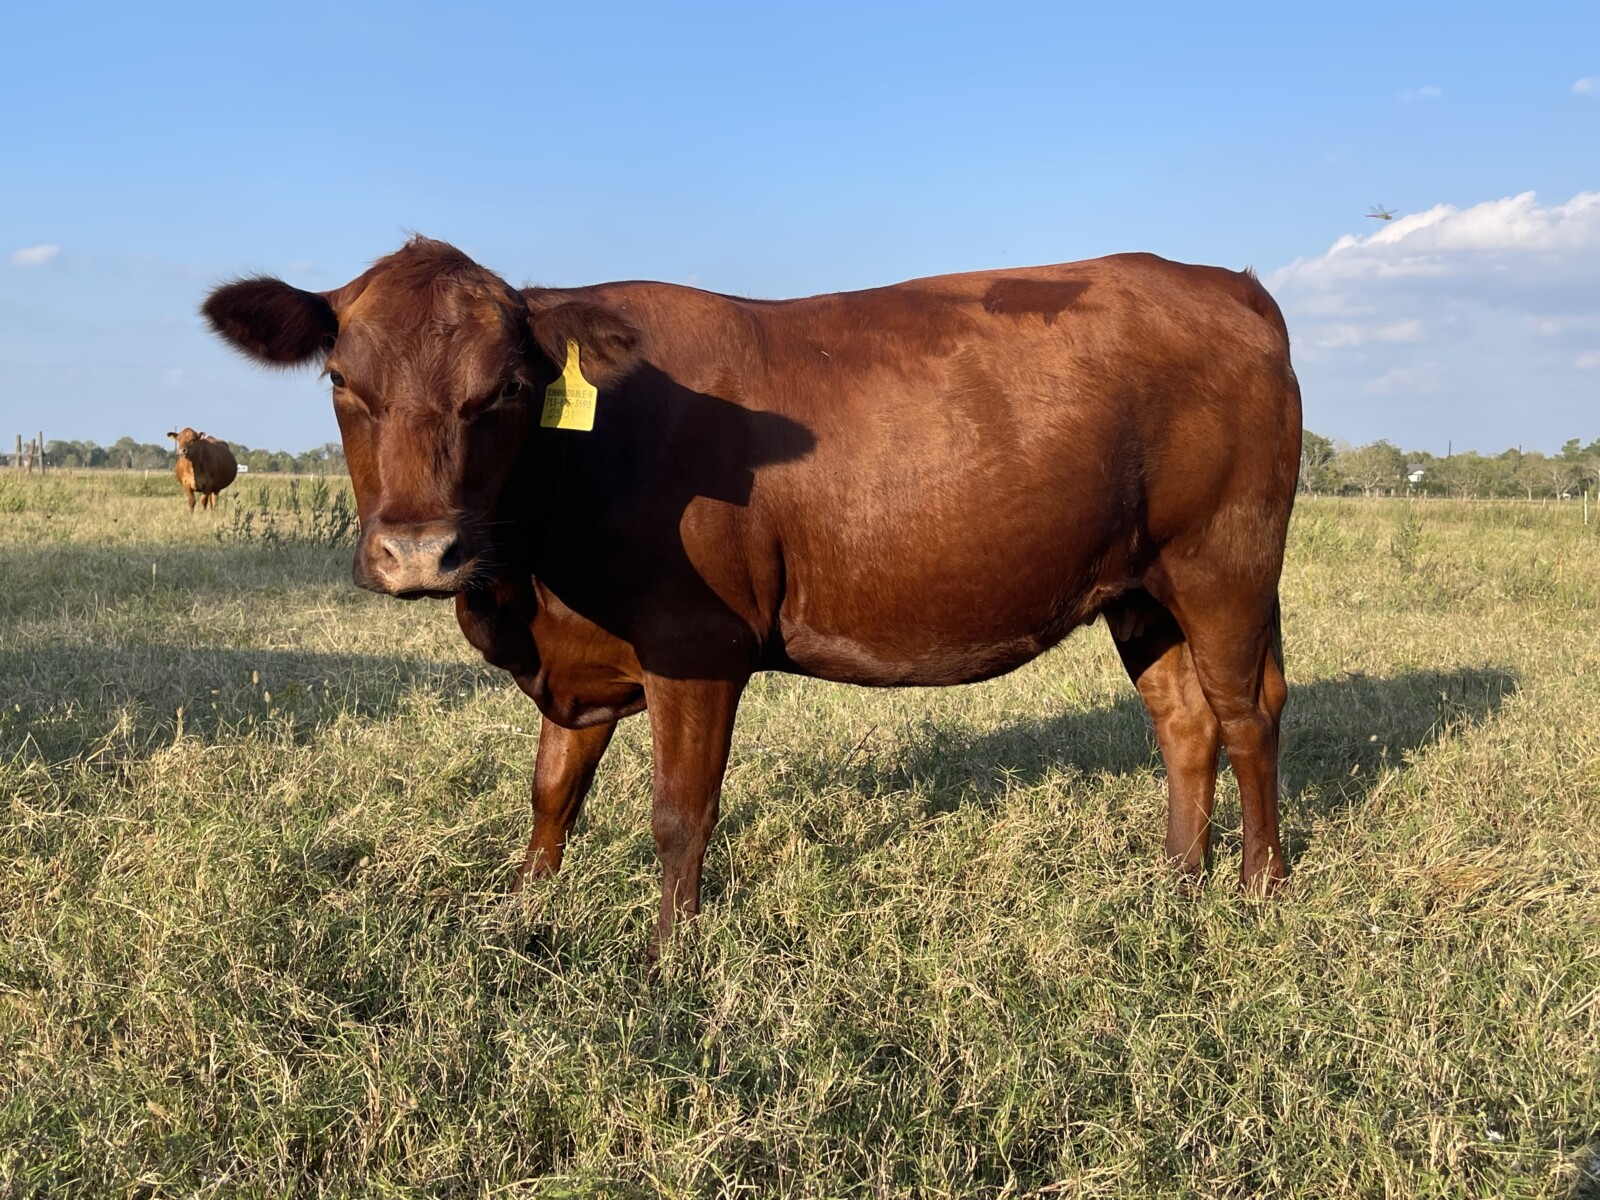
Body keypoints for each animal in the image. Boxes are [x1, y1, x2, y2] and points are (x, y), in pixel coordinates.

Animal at [203, 236, 1301, 951]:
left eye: (507, 389)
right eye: (341, 380)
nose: (422, 552)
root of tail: (1226, 284)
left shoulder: (696, 645)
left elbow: (679, 812)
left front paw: (669, 959)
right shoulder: (582, 654)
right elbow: (552, 792)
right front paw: (520, 913)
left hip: (1227, 560)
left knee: (1246, 715)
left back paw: (1258, 890)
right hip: (1138, 587)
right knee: (1182, 722)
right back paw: (1176, 883)